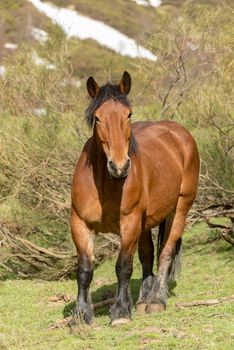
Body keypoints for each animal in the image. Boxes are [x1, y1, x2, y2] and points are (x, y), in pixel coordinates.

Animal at [71, 72, 199, 328]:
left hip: (179, 210)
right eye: (97, 118)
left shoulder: (129, 223)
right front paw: (81, 315)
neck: (105, 183)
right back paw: (142, 299)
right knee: (147, 254)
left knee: (165, 253)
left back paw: (156, 300)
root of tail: (179, 133)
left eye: (128, 114)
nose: (119, 166)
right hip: (146, 221)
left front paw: (120, 312)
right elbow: (84, 270)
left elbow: (123, 267)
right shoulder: (79, 223)